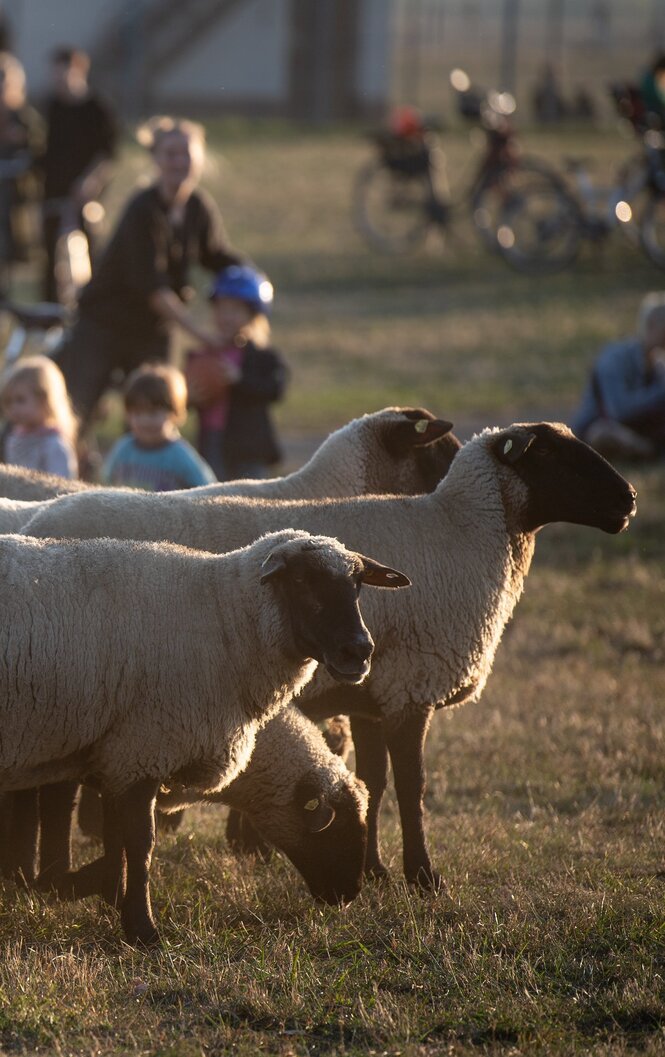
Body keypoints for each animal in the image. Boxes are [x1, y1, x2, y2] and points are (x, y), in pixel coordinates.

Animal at [0, 528, 410, 942]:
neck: (224, 616)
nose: (359, 651)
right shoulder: (145, 744)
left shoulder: (119, 754)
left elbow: (116, 840)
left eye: (357, 584)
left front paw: (110, 897)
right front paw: (142, 929)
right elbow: (140, 843)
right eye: (301, 580)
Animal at [24, 416, 638, 896]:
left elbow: (375, 782)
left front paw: (376, 871)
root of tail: (39, 520)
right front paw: (423, 877)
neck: (461, 534)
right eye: (553, 455)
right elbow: (412, 788)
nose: (629, 500)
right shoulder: (410, 686)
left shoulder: (371, 691)